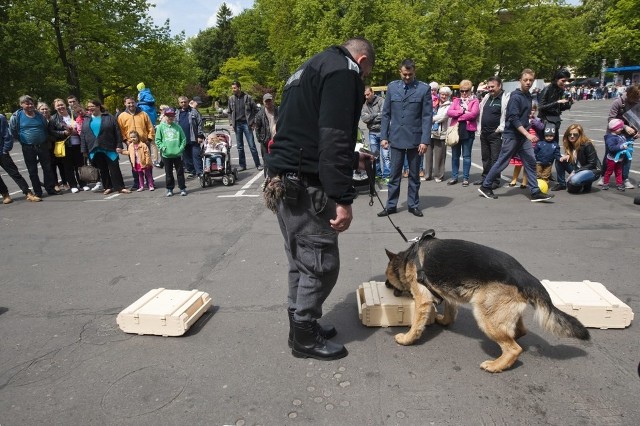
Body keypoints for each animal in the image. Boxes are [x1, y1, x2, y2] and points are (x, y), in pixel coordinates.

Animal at [384, 230, 592, 372]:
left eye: (387, 277)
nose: (385, 284)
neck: (408, 258)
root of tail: (524, 274)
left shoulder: (423, 299)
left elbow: (417, 323)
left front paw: (407, 339)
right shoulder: (448, 293)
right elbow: (450, 310)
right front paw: (444, 321)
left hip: (485, 315)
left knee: (514, 349)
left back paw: (496, 365)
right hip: (501, 312)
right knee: (519, 331)